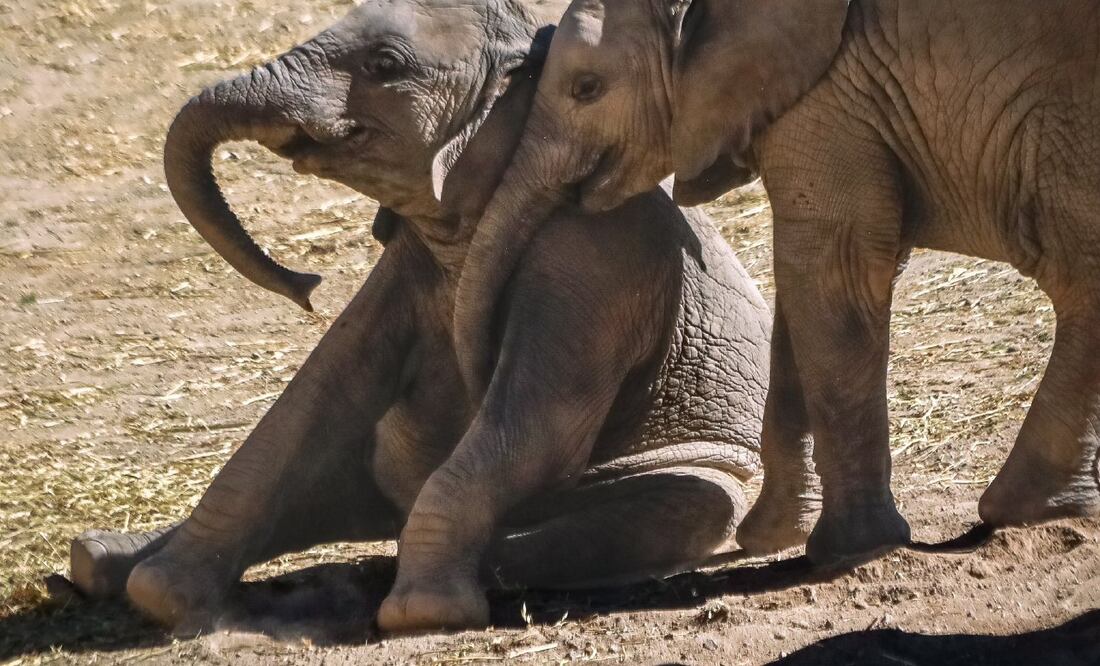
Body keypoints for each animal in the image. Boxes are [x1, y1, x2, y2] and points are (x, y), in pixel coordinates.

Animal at [66, 0, 772, 634]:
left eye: (385, 64)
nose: (307, 286)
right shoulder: (405, 264)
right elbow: (317, 396)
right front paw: (160, 597)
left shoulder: (597, 258)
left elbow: (538, 425)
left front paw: (423, 615)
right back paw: (97, 561)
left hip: (713, 476)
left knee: (670, 507)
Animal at [452, 0, 1100, 568]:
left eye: (586, 88)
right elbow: (808, 291)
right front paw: (773, 538)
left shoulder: (830, 94)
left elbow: (832, 268)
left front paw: (849, 552)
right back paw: (1046, 511)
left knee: (1078, 272)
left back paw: (1019, 511)